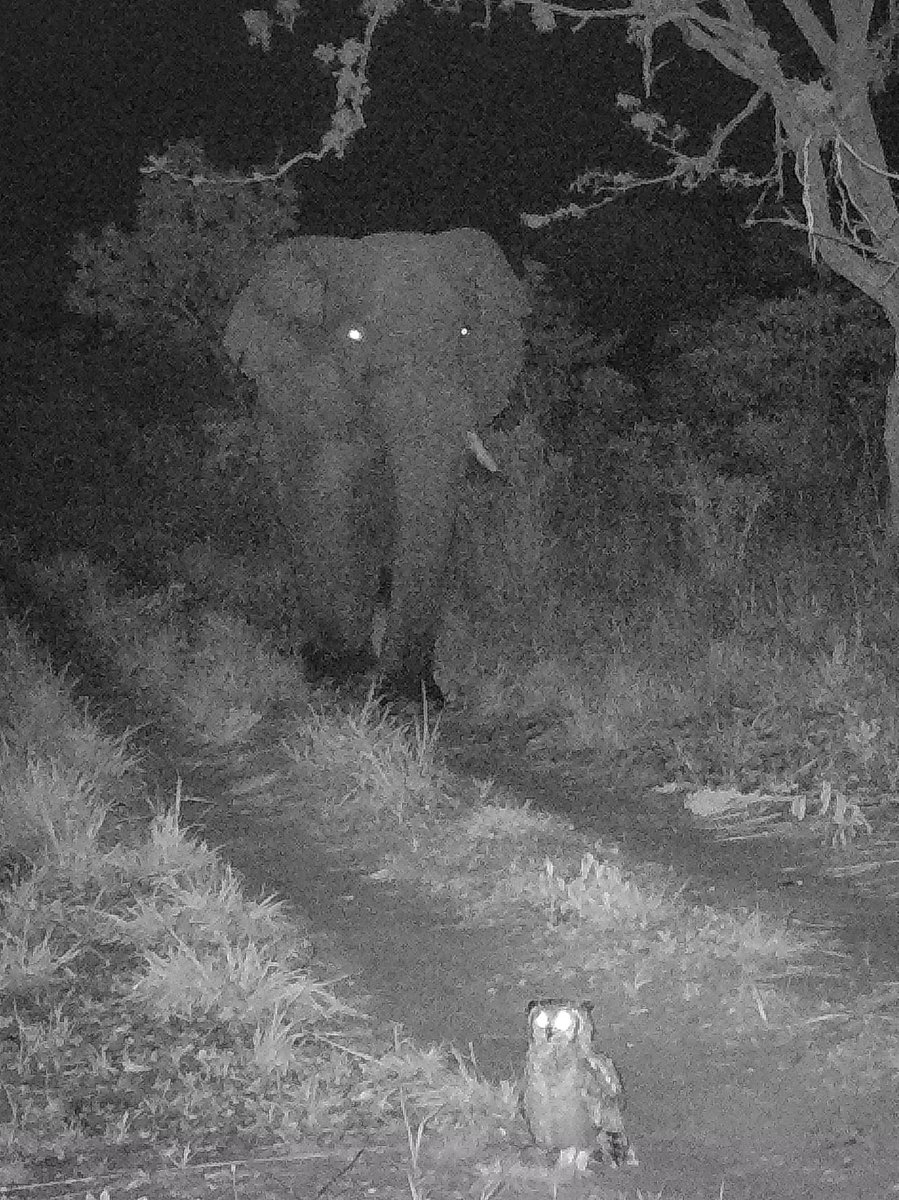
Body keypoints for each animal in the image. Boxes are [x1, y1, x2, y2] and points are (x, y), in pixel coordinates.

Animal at [223, 228, 529, 706]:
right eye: (354, 336)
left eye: (464, 332)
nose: (406, 694)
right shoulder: (318, 399)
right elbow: (327, 499)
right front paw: (344, 675)